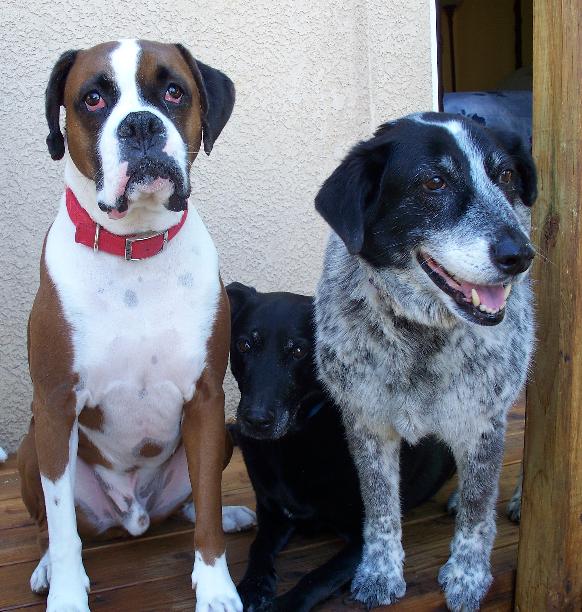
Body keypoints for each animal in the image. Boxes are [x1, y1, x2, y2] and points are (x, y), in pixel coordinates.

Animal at [17, 40, 255, 612]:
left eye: (174, 92)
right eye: (93, 98)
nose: (141, 124)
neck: (134, 249)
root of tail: (133, 516)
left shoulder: (207, 400)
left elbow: (208, 506)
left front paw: (215, 586)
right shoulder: (55, 405)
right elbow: (62, 530)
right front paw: (66, 595)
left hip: (222, 433)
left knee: (193, 504)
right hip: (32, 445)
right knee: (47, 526)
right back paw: (43, 568)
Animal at [226, 282, 456, 611]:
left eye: (298, 351)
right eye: (244, 345)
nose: (256, 420)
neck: (295, 441)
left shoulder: (371, 534)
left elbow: (318, 577)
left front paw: (283, 605)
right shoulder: (272, 514)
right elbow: (257, 547)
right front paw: (252, 586)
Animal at [314, 113, 536, 611]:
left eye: (505, 176)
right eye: (434, 182)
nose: (520, 255)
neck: (420, 333)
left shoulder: (484, 421)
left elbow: (477, 511)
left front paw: (468, 577)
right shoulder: (366, 421)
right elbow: (379, 508)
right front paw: (380, 572)